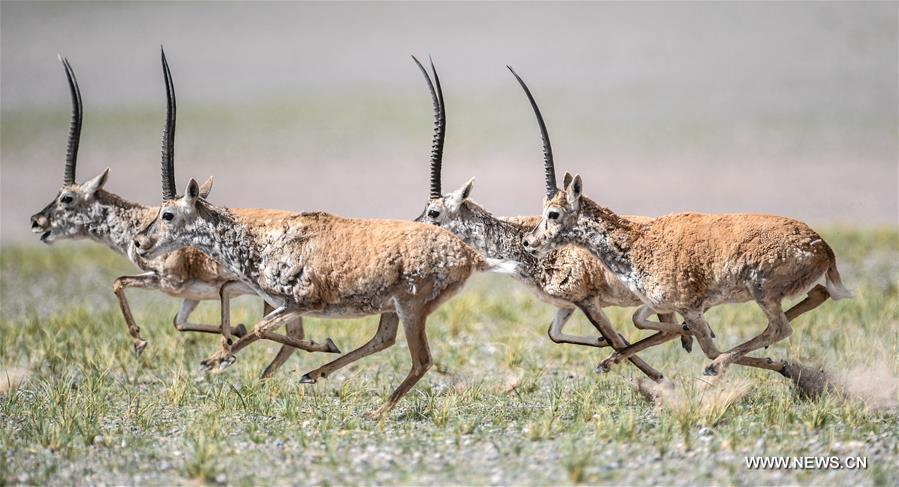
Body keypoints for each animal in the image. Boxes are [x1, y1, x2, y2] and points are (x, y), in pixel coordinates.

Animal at [28, 53, 324, 380]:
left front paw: (141, 342)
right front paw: (233, 332)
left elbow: (120, 282)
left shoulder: (168, 281)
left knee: (291, 334)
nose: (36, 221)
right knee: (291, 335)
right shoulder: (189, 295)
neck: (139, 222)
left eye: (67, 198)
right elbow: (177, 321)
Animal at [130, 58, 506, 420]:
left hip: (411, 308)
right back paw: (316, 375)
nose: (139, 243)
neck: (260, 241)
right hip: (393, 308)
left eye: (167, 214)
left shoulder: (303, 303)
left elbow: (262, 328)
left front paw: (224, 358)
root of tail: (469, 255)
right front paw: (230, 359)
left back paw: (373, 409)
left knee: (421, 359)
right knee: (384, 340)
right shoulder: (284, 304)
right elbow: (272, 331)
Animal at [410, 55, 684, 382]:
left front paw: (650, 374)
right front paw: (602, 343)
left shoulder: (586, 300)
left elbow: (617, 340)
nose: (412, 230)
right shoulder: (565, 306)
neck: (519, 237)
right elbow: (556, 334)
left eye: (434, 212)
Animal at [512, 67, 852, 378]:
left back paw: (735, 366)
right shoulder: (671, 306)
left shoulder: (689, 306)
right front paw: (613, 358)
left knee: (777, 329)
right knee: (816, 296)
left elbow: (706, 345)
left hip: (763, 293)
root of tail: (823, 247)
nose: (529, 242)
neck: (636, 240)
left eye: (553, 213)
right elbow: (647, 324)